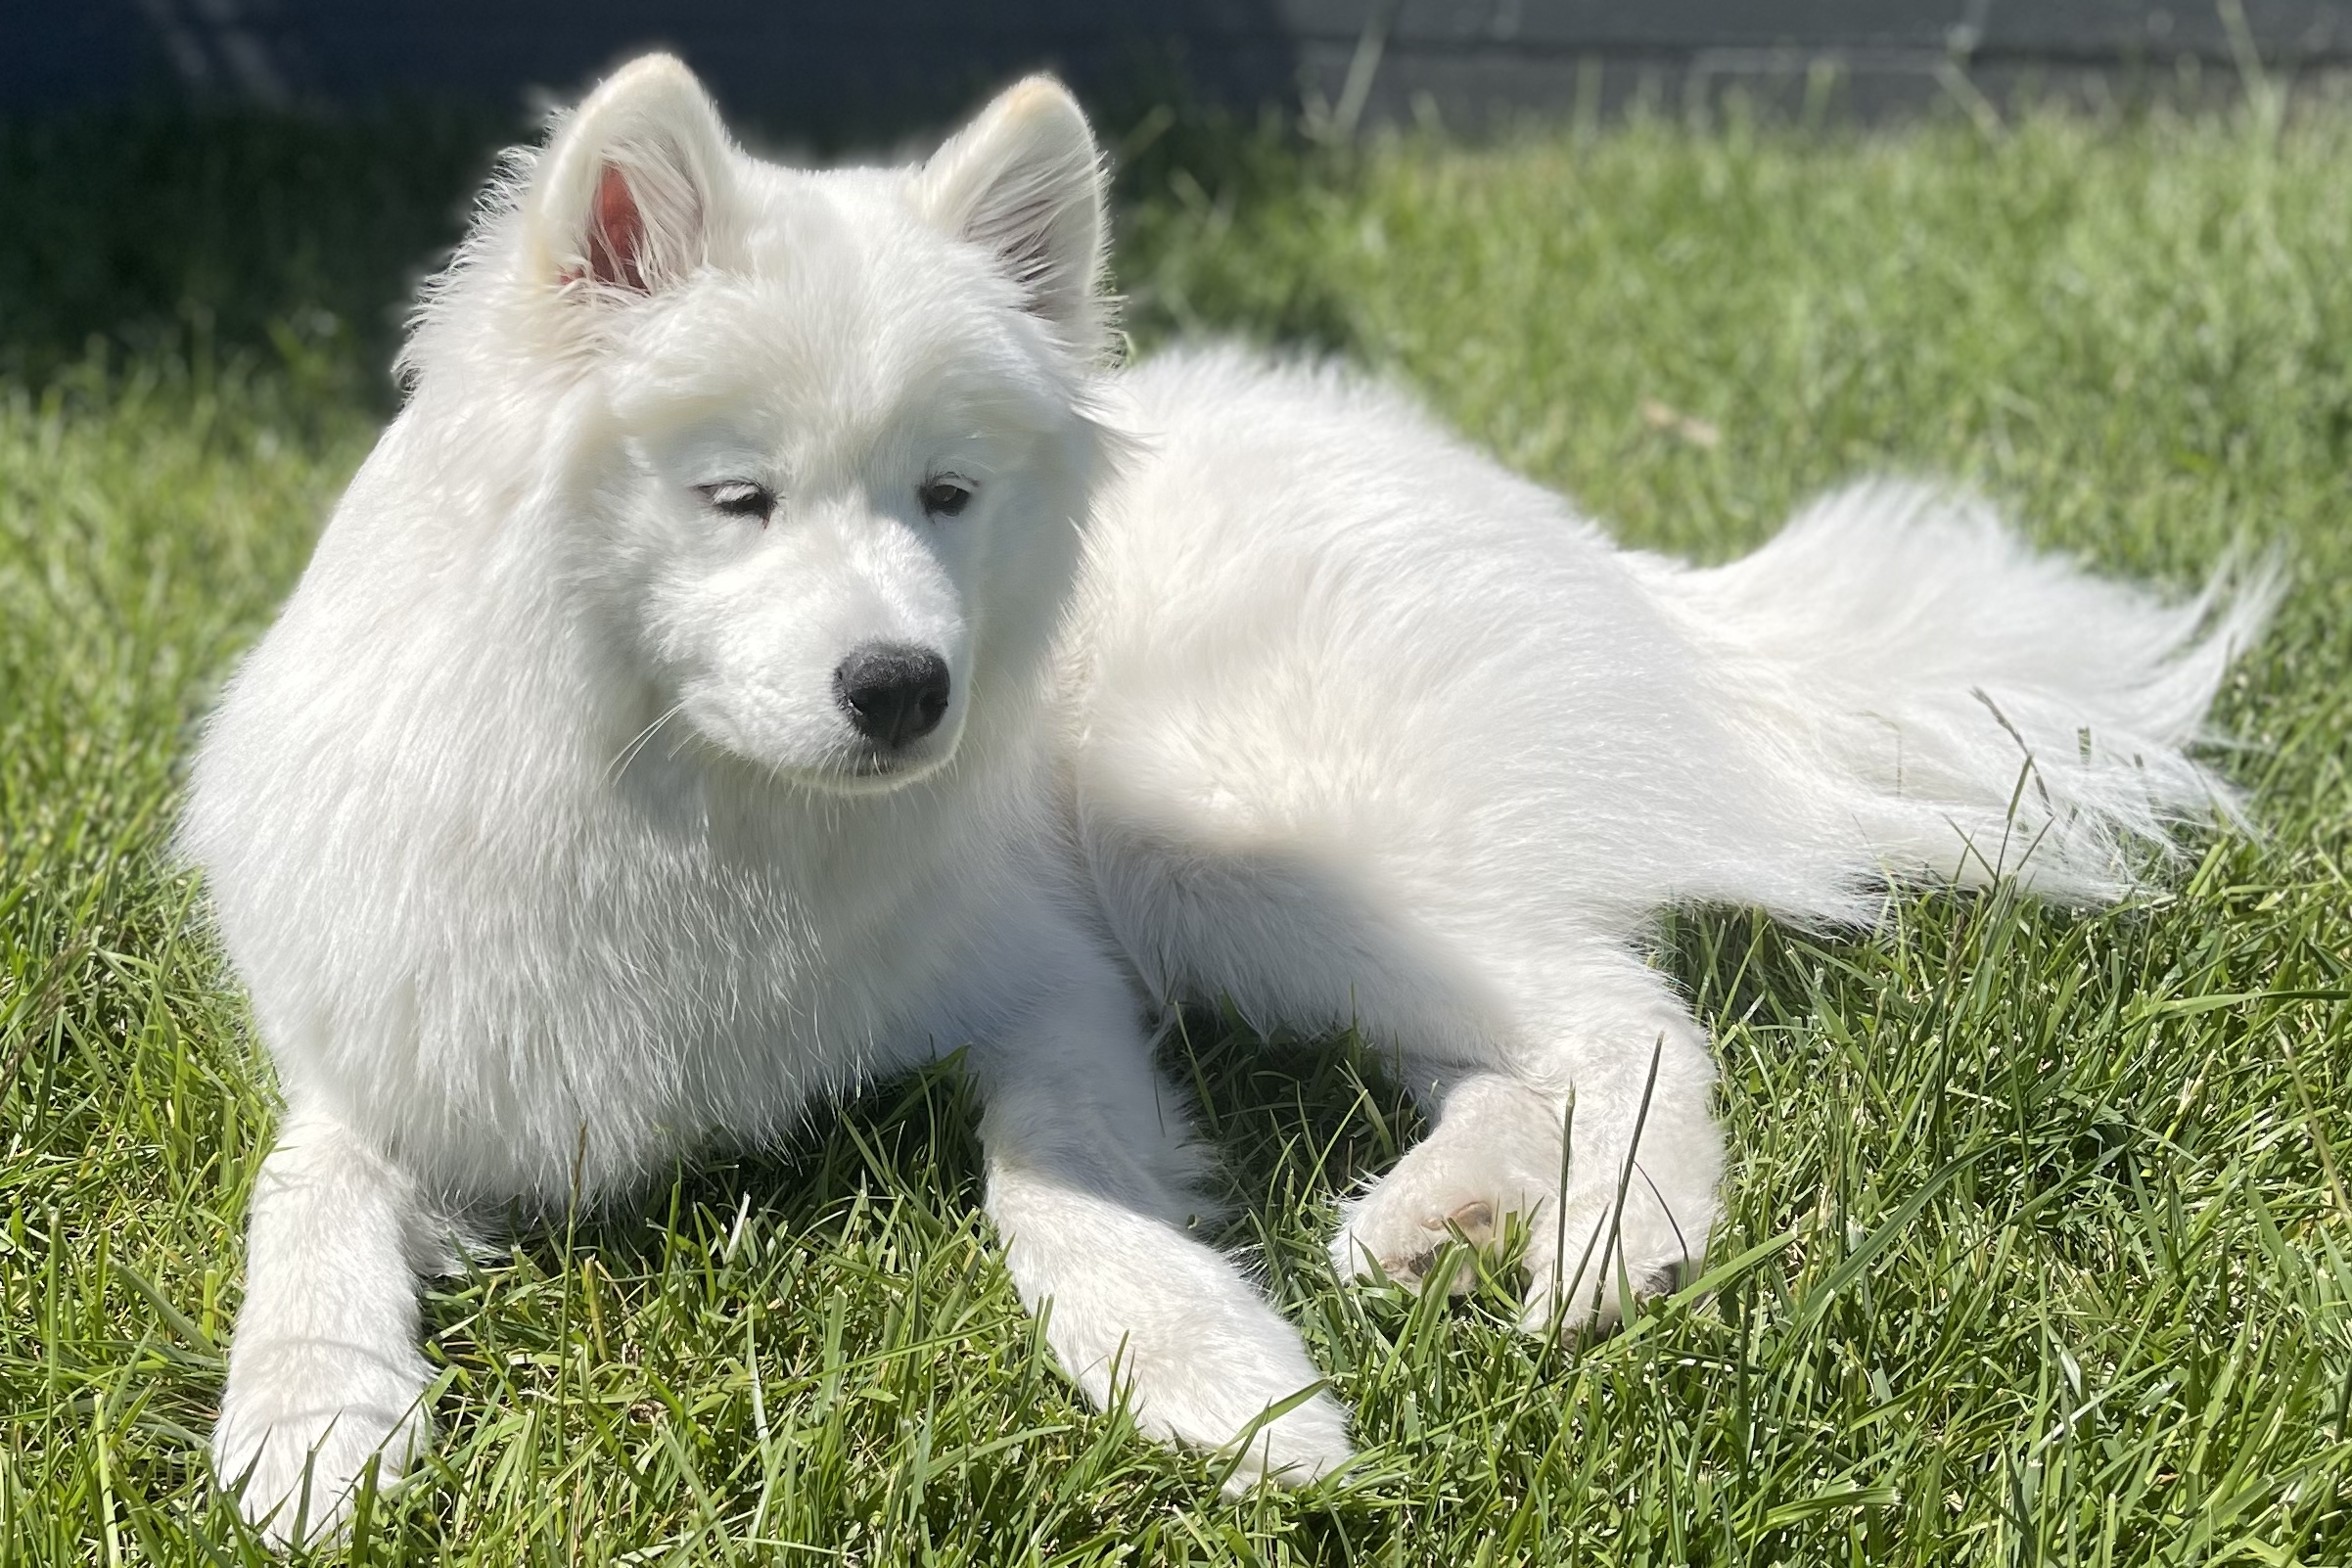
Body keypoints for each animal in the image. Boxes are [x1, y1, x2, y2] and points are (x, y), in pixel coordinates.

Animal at [182, 54, 2271, 1545]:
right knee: (1530, 1034)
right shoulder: (396, 1052)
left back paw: (1607, 1252)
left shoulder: (1053, 977)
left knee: (1629, 1017)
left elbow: (1054, 1170)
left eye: (946, 494)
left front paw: (1196, 1370)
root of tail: (1596, 553)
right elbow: (305, 1201)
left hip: (1201, 821)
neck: (703, 820)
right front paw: (311, 1418)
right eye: (736, 498)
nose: (905, 688)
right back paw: (1427, 1218)